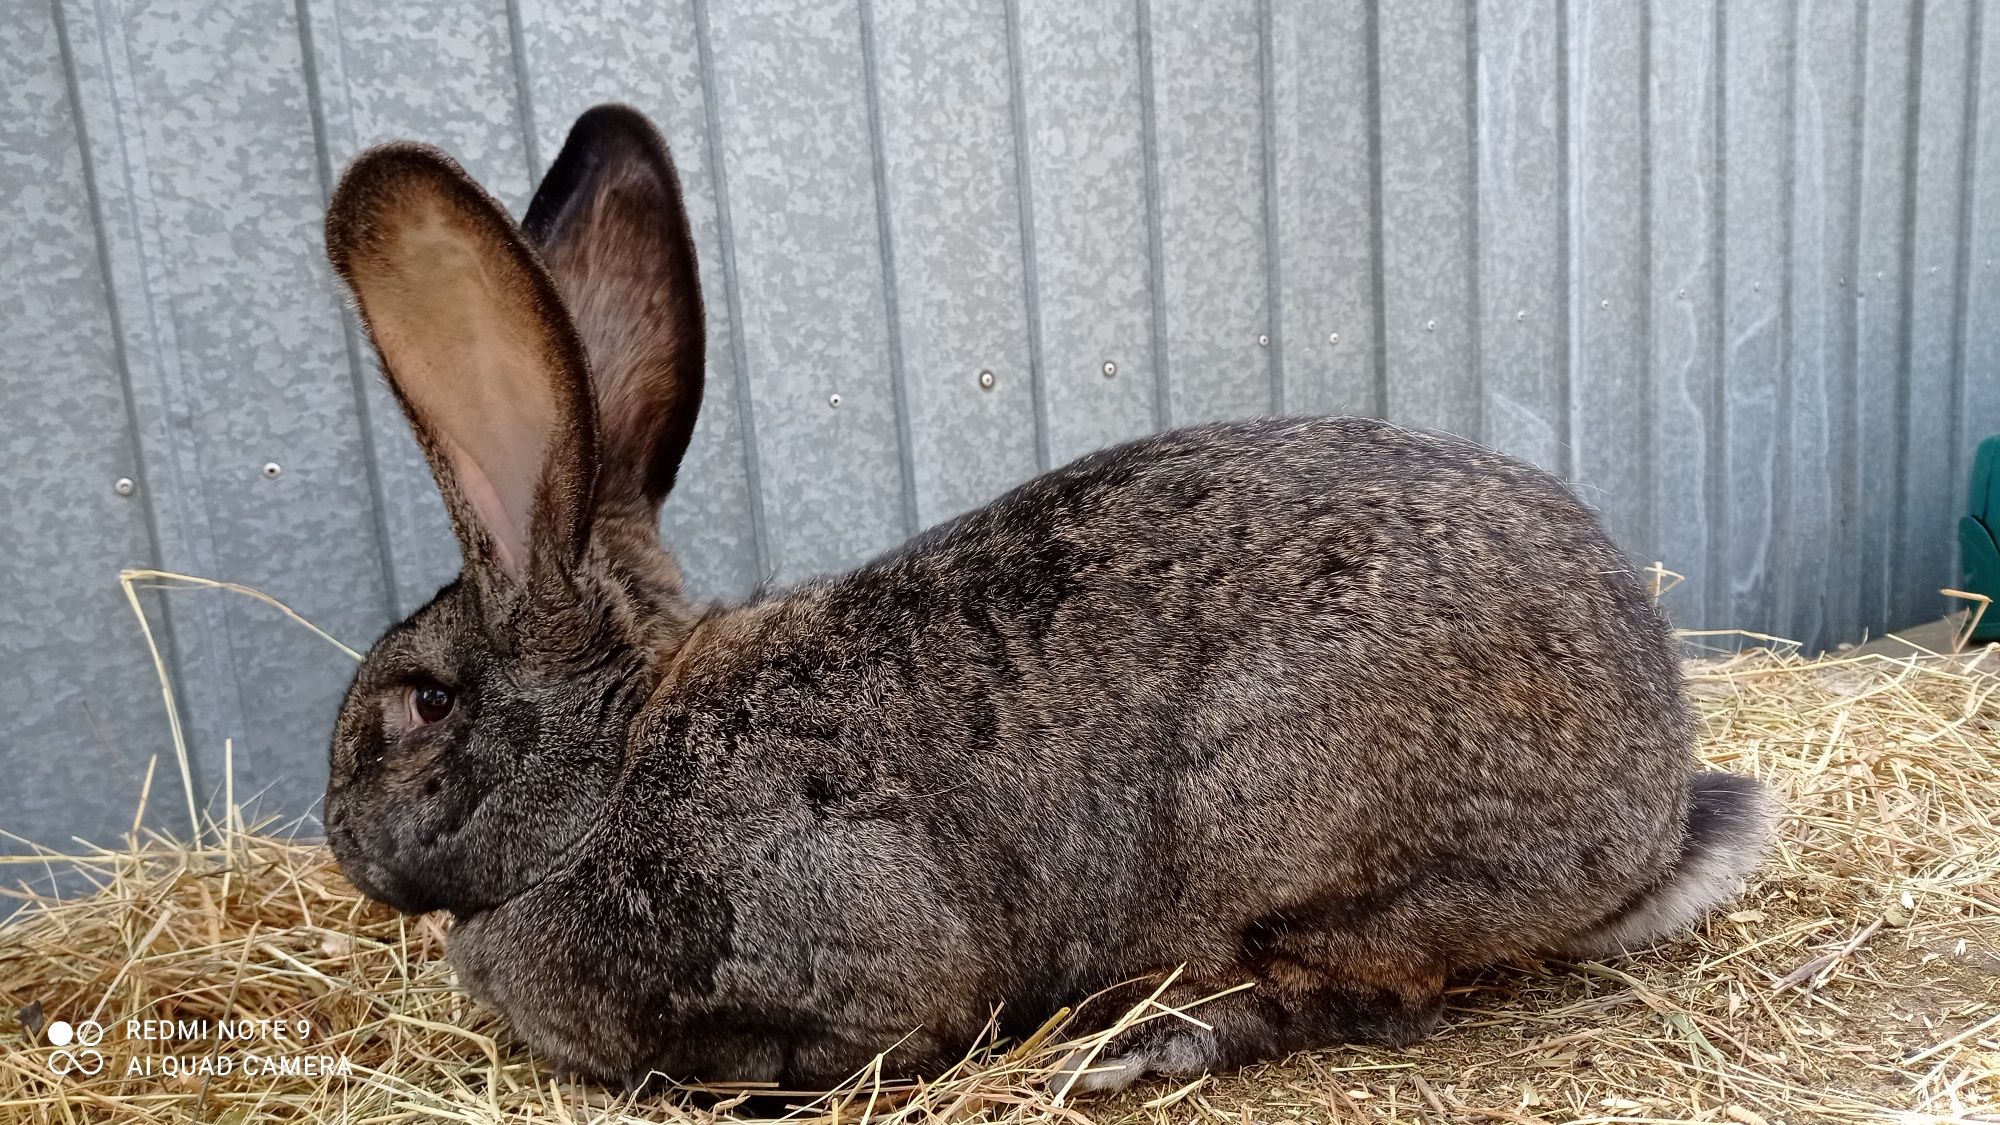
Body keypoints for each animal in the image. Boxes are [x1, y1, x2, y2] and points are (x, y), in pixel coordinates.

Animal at [320, 103, 1776, 1088]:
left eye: (421, 706)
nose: (337, 838)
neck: (614, 765)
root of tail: (1652, 812)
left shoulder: (851, 947)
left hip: (1300, 836)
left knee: (1358, 994)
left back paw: (1142, 1047)